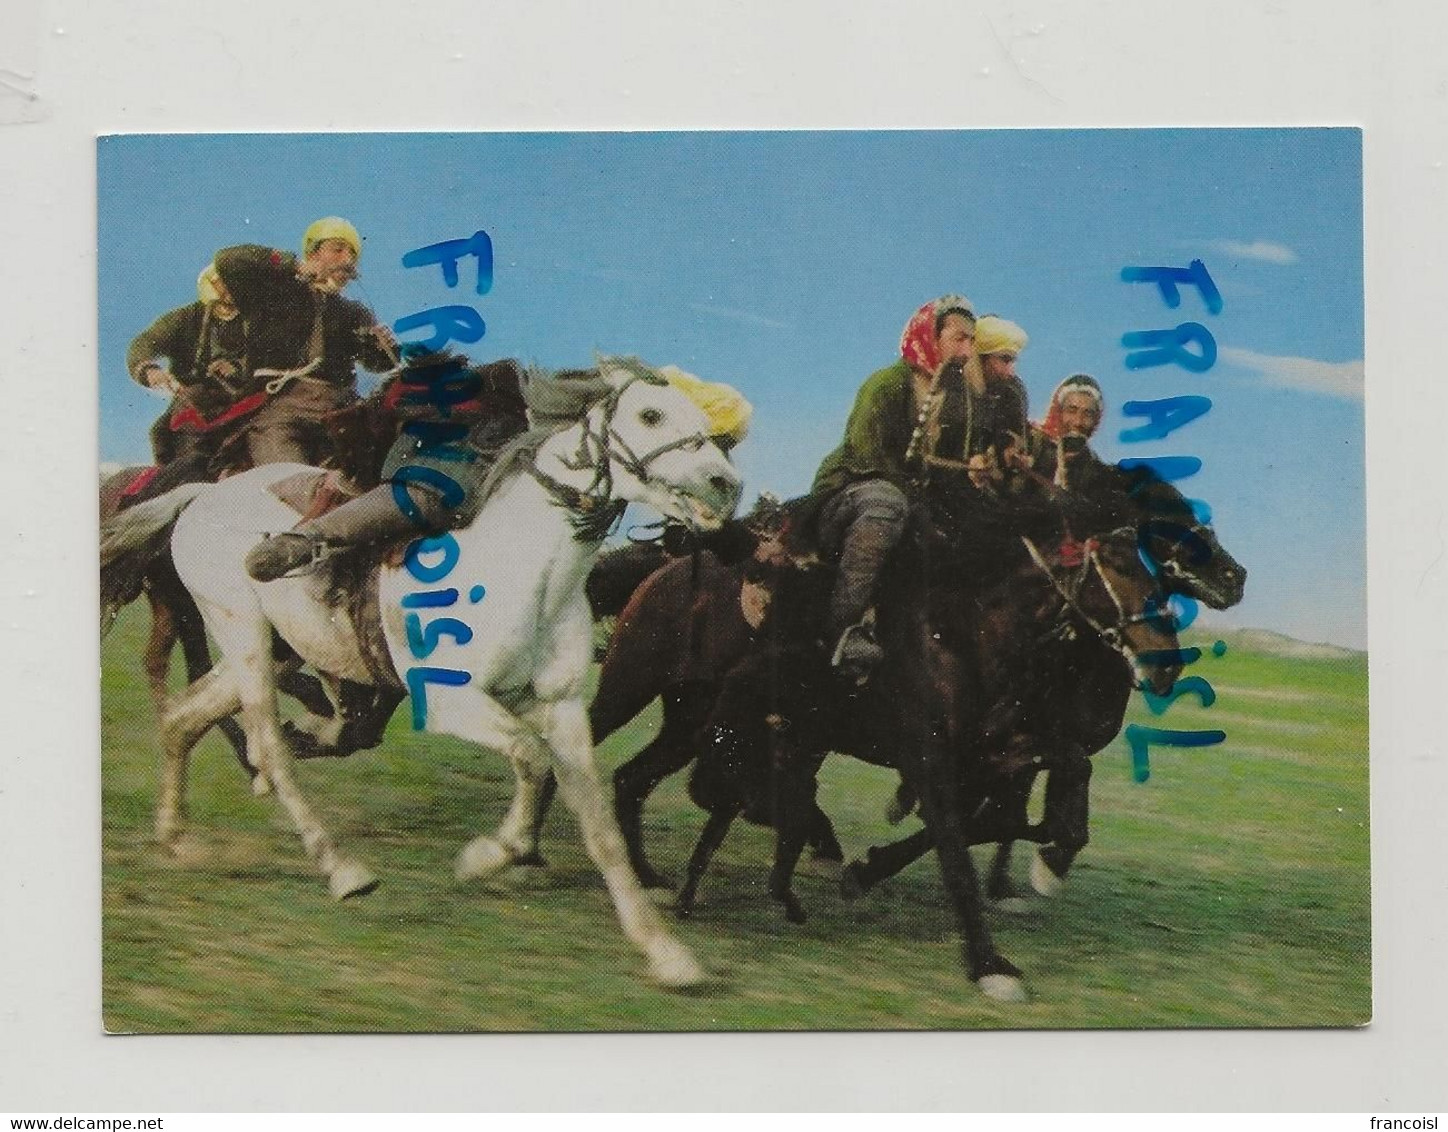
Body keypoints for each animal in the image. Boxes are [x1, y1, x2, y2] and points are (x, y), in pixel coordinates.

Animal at [160, 358, 747, 990]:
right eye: (651, 414)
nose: (725, 484)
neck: (520, 572)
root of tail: (204, 495)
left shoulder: (563, 708)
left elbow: (596, 822)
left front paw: (664, 951)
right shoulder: (450, 701)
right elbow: (531, 759)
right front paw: (489, 855)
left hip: (276, 649)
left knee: (180, 719)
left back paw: (175, 837)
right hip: (242, 631)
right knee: (268, 745)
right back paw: (341, 868)